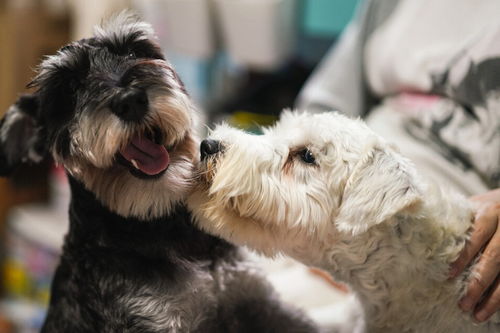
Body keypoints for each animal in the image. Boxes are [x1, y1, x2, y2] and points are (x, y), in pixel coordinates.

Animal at [0, 13, 316, 332]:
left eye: (134, 51)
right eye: (69, 88)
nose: (130, 100)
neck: (163, 225)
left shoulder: (259, 300)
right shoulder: (151, 320)